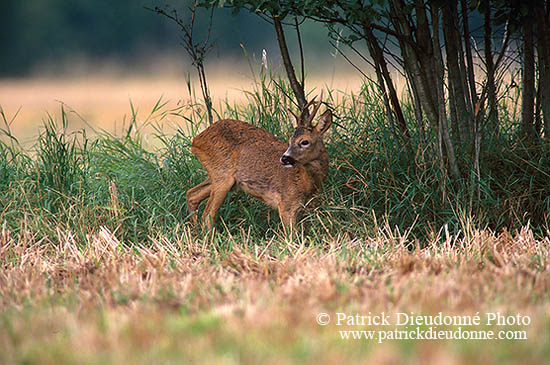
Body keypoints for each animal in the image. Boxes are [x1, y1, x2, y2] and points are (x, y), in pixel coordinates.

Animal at [188, 96, 332, 228]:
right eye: (290, 140)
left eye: (304, 141)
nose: (284, 158)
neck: (306, 181)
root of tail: (196, 141)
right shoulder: (286, 204)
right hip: (222, 175)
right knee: (207, 215)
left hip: (223, 177)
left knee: (192, 195)